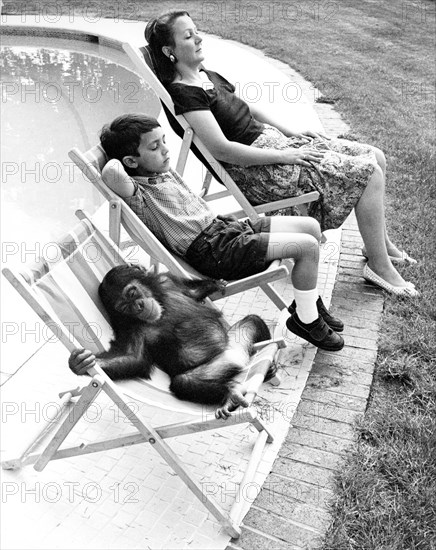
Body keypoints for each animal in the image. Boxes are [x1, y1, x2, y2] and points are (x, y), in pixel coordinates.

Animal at [68, 266, 272, 418]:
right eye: (125, 307)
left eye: (132, 293)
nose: (138, 306)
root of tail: (239, 359)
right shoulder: (132, 330)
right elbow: (133, 358)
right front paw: (79, 363)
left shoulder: (167, 281)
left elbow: (192, 292)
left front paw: (217, 283)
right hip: (218, 364)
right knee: (184, 382)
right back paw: (231, 395)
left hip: (236, 341)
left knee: (253, 320)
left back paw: (270, 367)